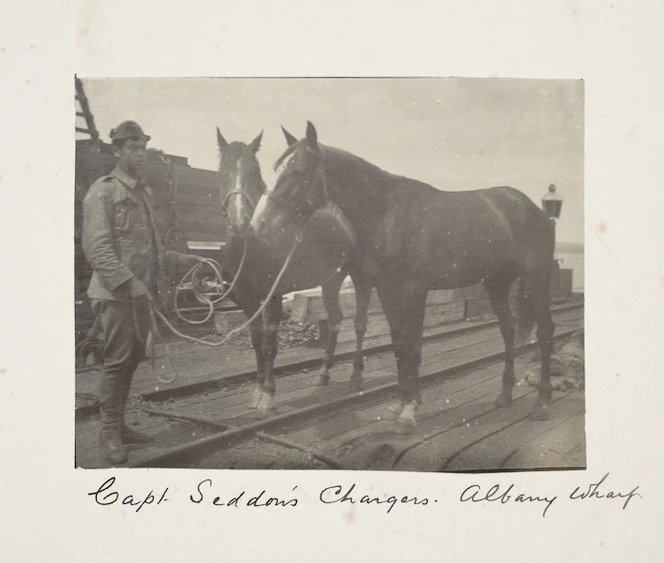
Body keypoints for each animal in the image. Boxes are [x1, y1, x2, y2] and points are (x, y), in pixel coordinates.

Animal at [218, 130, 374, 416]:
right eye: (222, 172)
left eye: (254, 172)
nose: (240, 222)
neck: (253, 245)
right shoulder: (248, 301)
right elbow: (257, 342)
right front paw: (258, 390)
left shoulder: (273, 298)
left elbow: (270, 344)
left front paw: (268, 393)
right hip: (331, 280)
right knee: (335, 319)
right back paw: (323, 373)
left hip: (360, 277)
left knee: (359, 322)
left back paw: (356, 375)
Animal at [252, 122, 556, 432]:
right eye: (276, 168)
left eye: (298, 170)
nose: (259, 224)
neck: (389, 215)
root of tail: (532, 208)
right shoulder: (387, 290)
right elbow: (399, 343)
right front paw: (399, 403)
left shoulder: (415, 291)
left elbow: (414, 346)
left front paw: (410, 410)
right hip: (497, 283)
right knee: (508, 329)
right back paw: (505, 395)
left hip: (537, 278)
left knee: (545, 332)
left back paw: (542, 402)